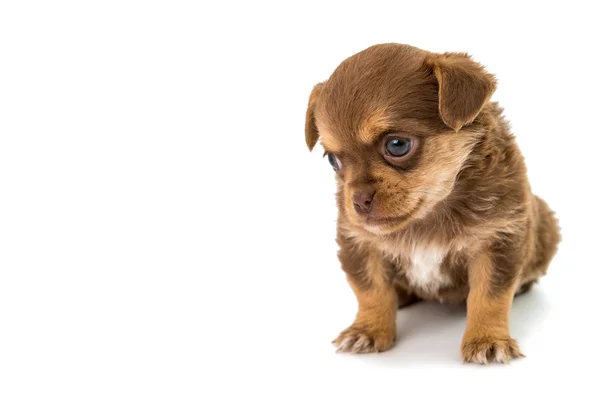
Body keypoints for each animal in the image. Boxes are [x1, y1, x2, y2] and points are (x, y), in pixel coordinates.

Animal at [304, 42, 564, 364]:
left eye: (397, 145)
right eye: (333, 160)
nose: (358, 201)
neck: (430, 214)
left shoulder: (498, 239)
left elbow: (489, 296)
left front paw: (487, 339)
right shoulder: (359, 243)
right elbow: (371, 291)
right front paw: (367, 330)